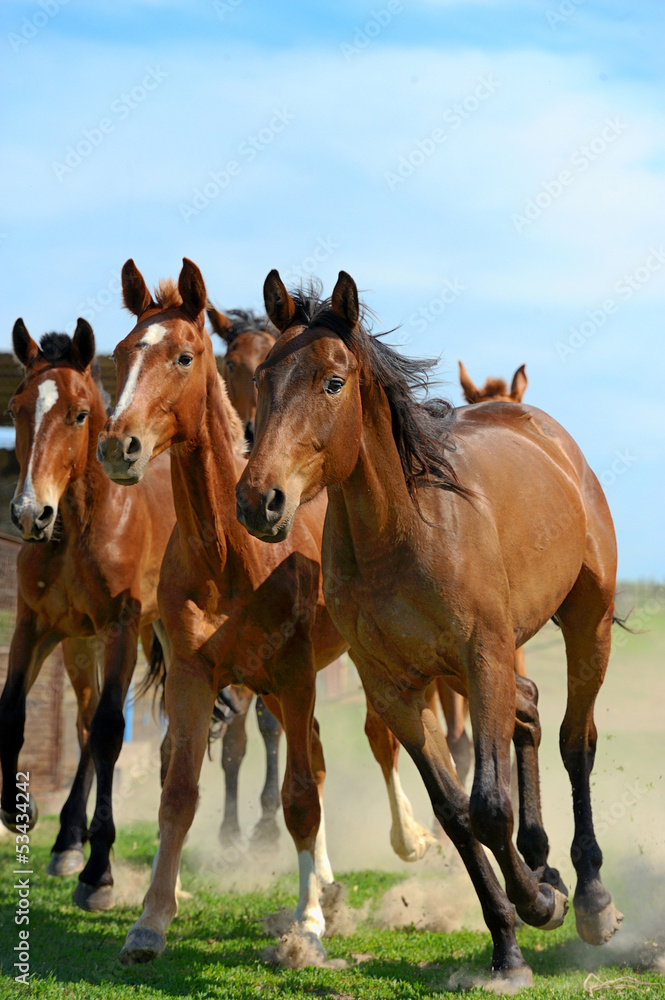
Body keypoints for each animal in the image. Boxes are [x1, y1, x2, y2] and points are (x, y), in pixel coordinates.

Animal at [0, 319, 175, 913]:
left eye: (78, 414)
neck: (78, 527)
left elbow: (109, 732)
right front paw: (20, 811)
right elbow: (12, 713)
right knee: (79, 719)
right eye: (16, 408)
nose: (30, 515)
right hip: (80, 643)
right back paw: (67, 841)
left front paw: (100, 874)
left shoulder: (121, 628)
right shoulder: (35, 626)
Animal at [97, 258, 354, 967]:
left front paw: (307, 925)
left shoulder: (293, 676)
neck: (230, 558)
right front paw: (150, 920)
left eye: (184, 356)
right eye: (123, 353)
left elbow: (299, 795)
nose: (118, 447)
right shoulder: (192, 673)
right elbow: (179, 790)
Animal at [235, 269, 623, 986]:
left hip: (584, 626)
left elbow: (489, 806)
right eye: (263, 379)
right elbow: (456, 814)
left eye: (333, 381)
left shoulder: (483, 655)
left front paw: (541, 904)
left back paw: (589, 897)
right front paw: (508, 942)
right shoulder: (397, 689)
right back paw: (544, 862)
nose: (259, 501)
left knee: (574, 741)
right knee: (528, 713)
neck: (399, 534)